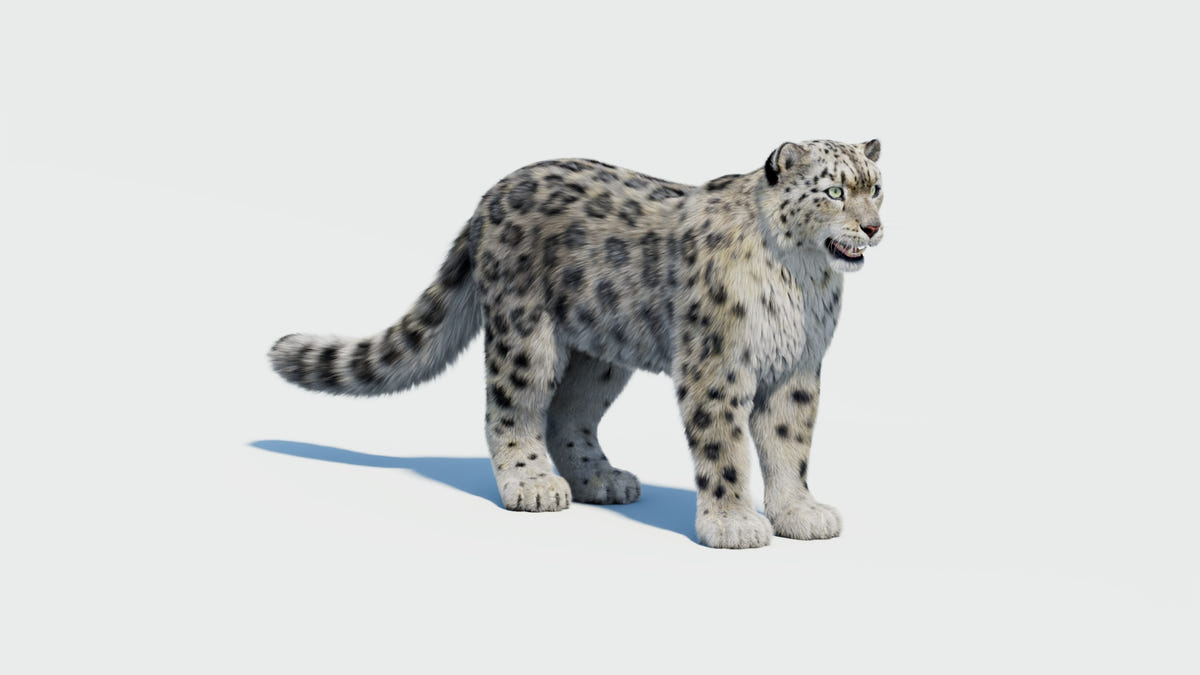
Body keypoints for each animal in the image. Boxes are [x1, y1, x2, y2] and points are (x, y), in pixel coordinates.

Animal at [268, 139, 884, 548]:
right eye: (834, 192)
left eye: (875, 188)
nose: (874, 228)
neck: (800, 281)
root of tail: (489, 196)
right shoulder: (717, 365)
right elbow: (725, 447)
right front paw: (732, 523)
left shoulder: (797, 369)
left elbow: (789, 444)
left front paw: (800, 513)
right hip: (526, 334)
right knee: (511, 408)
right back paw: (533, 484)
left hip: (600, 353)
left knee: (569, 411)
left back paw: (599, 478)